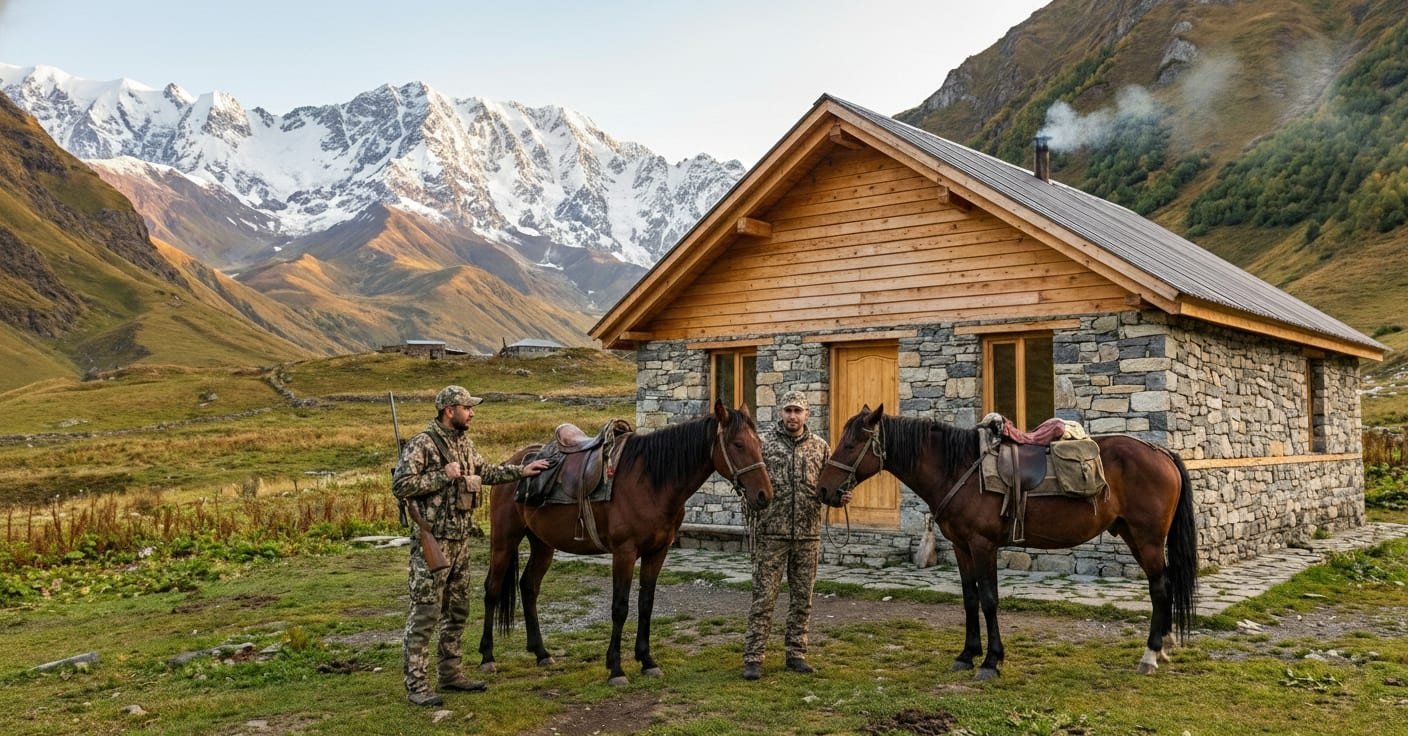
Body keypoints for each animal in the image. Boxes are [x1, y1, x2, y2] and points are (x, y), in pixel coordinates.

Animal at [478, 399, 773, 685]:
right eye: (738, 444)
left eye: (759, 444)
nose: (764, 495)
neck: (651, 482)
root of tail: (515, 461)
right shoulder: (624, 552)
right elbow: (620, 607)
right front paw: (616, 669)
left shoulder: (658, 552)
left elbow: (646, 603)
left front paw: (647, 661)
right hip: (504, 540)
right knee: (492, 590)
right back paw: (487, 657)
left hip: (542, 544)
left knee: (529, 587)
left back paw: (541, 653)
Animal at [816, 404, 1197, 681]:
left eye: (850, 444)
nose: (823, 490)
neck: (959, 470)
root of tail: (1160, 452)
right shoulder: (962, 547)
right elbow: (970, 599)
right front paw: (967, 655)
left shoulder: (983, 545)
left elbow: (988, 599)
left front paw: (990, 661)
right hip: (1134, 535)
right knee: (1163, 585)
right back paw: (1164, 647)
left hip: (1148, 539)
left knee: (1159, 589)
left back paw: (1151, 654)